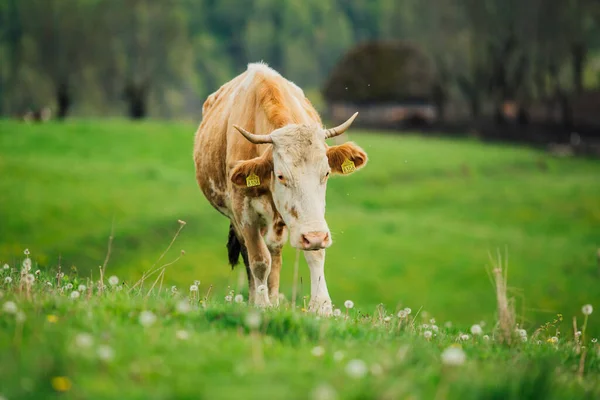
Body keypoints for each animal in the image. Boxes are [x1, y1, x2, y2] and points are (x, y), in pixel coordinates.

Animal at [195, 62, 368, 314]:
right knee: (253, 256)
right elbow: (259, 260)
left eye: (326, 173)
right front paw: (262, 304)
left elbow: (314, 255)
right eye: (281, 175)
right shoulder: (244, 213)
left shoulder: (307, 219)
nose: (314, 237)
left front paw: (322, 306)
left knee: (274, 253)